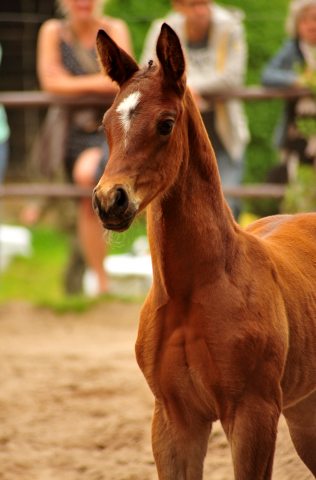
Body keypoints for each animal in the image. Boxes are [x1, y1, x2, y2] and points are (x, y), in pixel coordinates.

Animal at [92, 23, 314, 480]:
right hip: (305, 413)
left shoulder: (252, 415)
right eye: (105, 123)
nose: (109, 201)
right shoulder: (174, 419)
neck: (192, 292)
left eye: (166, 124)